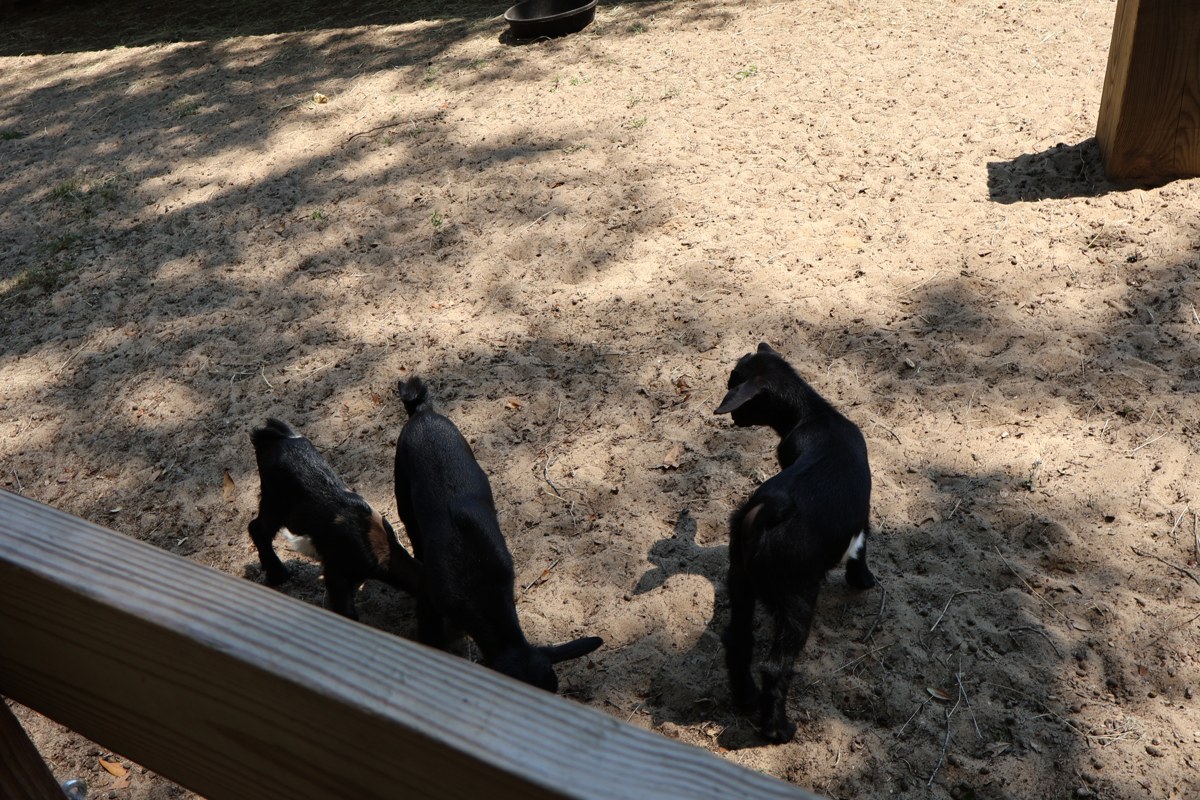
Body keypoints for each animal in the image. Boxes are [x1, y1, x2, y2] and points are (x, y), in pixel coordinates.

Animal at [248, 418, 421, 620]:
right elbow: (345, 609)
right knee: (258, 529)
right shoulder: (335, 570)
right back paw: (278, 575)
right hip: (274, 504)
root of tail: (271, 437)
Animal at [714, 342, 876, 742]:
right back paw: (779, 730)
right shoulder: (862, 516)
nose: (731, 416)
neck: (814, 415)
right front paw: (863, 581)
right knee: (776, 667)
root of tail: (767, 513)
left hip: (740, 582)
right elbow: (861, 548)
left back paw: (746, 700)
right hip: (797, 599)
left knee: (738, 641)